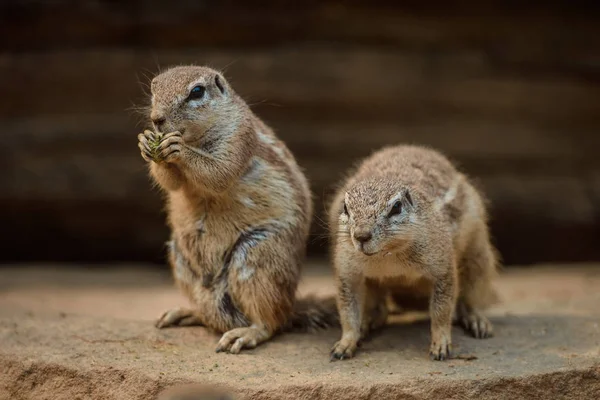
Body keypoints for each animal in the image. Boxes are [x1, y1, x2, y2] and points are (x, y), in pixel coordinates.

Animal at [138, 65, 340, 354]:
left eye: (196, 91)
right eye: (154, 88)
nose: (156, 119)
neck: (194, 137)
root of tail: (291, 308)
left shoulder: (239, 137)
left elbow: (218, 172)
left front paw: (178, 149)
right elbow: (171, 182)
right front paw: (147, 143)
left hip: (256, 256)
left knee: (271, 323)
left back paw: (245, 334)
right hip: (181, 257)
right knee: (212, 315)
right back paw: (185, 313)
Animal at [328, 145, 496, 360]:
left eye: (397, 207)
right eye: (345, 207)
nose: (361, 236)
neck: (387, 255)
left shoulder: (442, 265)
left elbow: (441, 310)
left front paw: (440, 344)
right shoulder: (347, 270)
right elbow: (348, 311)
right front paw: (345, 343)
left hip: (477, 257)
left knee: (471, 296)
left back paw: (476, 319)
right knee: (379, 306)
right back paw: (368, 321)